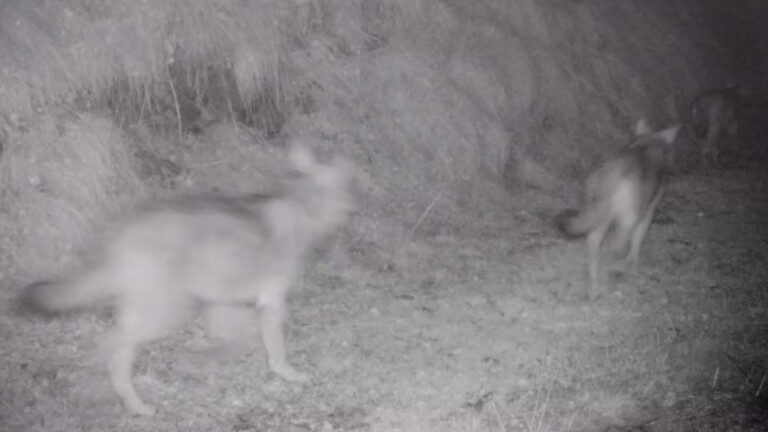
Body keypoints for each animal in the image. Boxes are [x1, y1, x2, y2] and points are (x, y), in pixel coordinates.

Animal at [18, 144, 354, 416]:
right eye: (331, 188)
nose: (347, 212)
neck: (303, 209)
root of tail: (122, 231)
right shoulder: (270, 300)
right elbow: (275, 348)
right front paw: (288, 373)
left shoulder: (222, 303)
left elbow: (239, 338)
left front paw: (214, 360)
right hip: (166, 312)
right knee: (107, 349)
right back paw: (108, 394)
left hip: (147, 310)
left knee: (115, 351)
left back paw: (130, 403)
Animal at [552, 118, 684, 300]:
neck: (648, 144)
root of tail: (613, 173)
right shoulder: (646, 213)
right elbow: (637, 243)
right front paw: (633, 265)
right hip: (623, 221)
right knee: (613, 246)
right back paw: (611, 272)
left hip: (599, 218)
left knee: (594, 246)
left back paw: (594, 286)